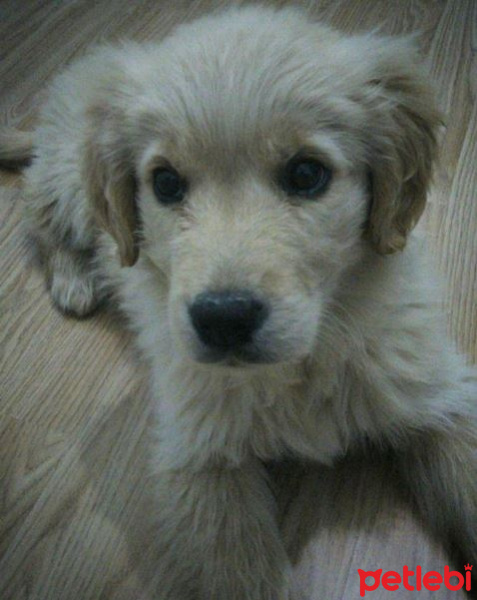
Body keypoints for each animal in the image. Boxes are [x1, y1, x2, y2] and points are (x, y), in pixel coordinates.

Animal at [0, 5, 476, 600]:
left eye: (306, 174)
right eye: (165, 182)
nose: (223, 319)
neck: (301, 365)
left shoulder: (436, 394)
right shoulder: (204, 463)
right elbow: (245, 573)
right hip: (68, 179)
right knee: (34, 207)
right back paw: (72, 278)